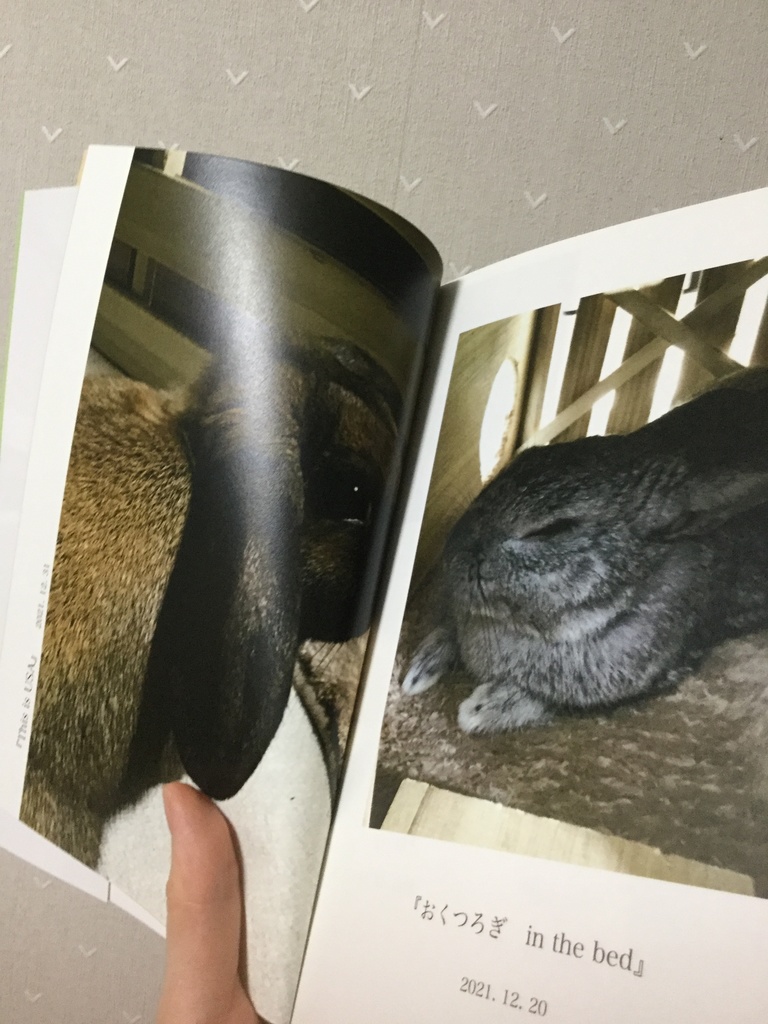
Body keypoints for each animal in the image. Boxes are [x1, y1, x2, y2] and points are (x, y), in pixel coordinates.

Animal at [402, 366, 768, 736]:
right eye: (527, 456)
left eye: (553, 529)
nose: (452, 553)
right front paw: (419, 671)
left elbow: (547, 702)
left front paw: (481, 709)